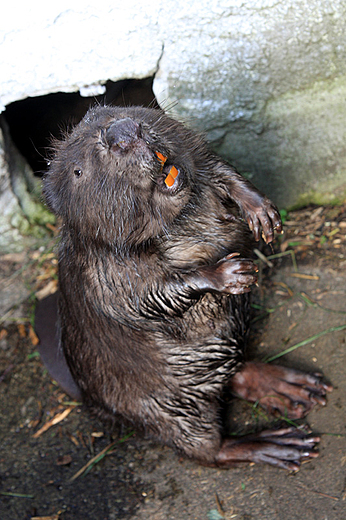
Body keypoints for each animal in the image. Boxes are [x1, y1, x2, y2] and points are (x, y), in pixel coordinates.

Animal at [39, 105, 332, 472]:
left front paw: (262, 213)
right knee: (210, 450)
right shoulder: (101, 270)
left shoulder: (196, 157)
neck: (178, 221)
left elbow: (218, 168)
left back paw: (294, 389)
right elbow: (147, 296)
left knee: (236, 373)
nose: (124, 133)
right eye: (78, 170)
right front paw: (232, 273)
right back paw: (280, 443)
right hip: (169, 411)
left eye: (110, 112)